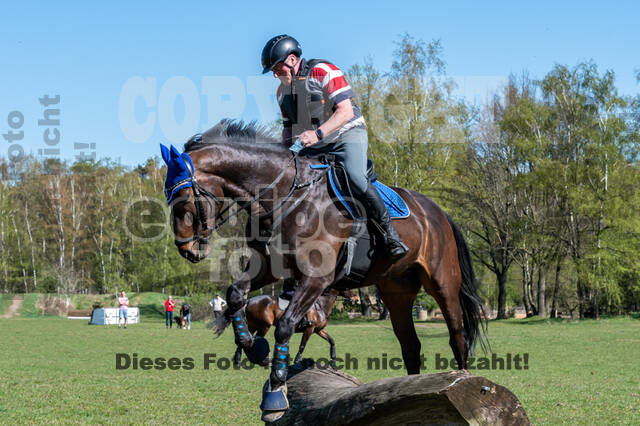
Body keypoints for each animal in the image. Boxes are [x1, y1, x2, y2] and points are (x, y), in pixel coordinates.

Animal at [222, 288, 358, 368]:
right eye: (349, 287)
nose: (356, 299)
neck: (320, 306)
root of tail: (250, 300)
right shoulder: (309, 329)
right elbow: (302, 345)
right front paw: (297, 362)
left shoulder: (319, 330)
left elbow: (331, 341)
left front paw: (333, 362)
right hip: (264, 325)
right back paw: (261, 361)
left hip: (254, 324)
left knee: (245, 340)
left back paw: (238, 361)